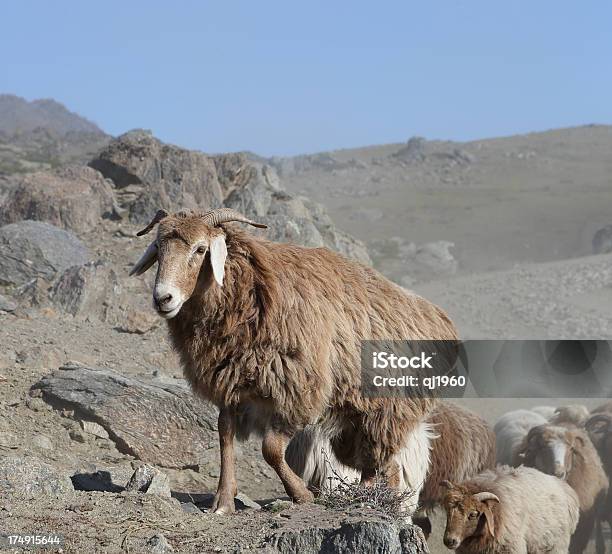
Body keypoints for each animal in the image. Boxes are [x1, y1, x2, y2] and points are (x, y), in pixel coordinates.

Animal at [134, 208, 460, 512]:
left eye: (201, 249)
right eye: (159, 247)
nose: (163, 298)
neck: (249, 292)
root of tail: (440, 319)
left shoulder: (297, 389)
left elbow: (270, 450)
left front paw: (301, 494)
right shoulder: (231, 384)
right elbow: (225, 436)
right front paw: (223, 501)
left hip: (388, 410)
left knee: (386, 463)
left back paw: (379, 502)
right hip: (356, 419)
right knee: (371, 462)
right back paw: (362, 496)